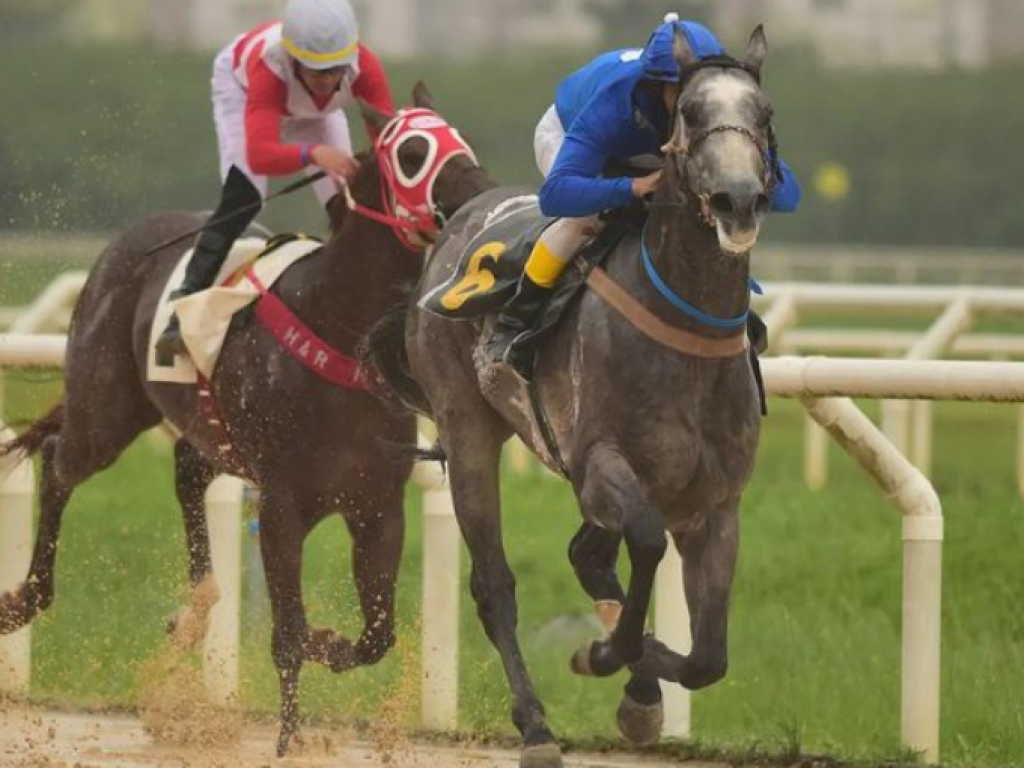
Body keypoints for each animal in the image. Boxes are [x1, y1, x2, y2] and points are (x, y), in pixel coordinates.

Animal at [0, 85, 495, 757]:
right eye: (414, 152)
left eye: (458, 135)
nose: (479, 192)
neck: (338, 325)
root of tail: (130, 239)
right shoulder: (282, 502)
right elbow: (287, 631)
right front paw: (289, 736)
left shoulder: (377, 504)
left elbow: (375, 634)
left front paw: (327, 643)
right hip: (106, 407)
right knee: (57, 462)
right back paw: (24, 598)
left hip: (203, 431)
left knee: (185, 473)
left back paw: (194, 610)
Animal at [372, 30, 778, 768]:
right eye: (692, 114)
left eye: (762, 115)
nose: (738, 199)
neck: (686, 333)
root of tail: (467, 208)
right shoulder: (600, 464)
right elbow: (644, 545)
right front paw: (606, 653)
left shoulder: (715, 504)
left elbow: (707, 657)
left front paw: (640, 679)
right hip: (468, 431)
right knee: (495, 583)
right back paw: (536, 725)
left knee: (585, 555)